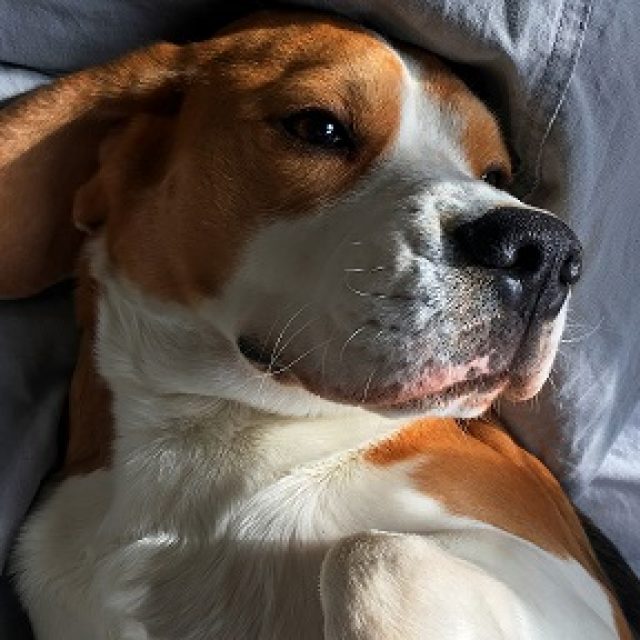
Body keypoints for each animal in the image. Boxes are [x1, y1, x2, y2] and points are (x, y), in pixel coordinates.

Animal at [0, 9, 632, 639]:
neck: (204, 444)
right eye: (319, 128)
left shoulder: (579, 598)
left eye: (496, 174)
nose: (547, 253)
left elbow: (370, 557)